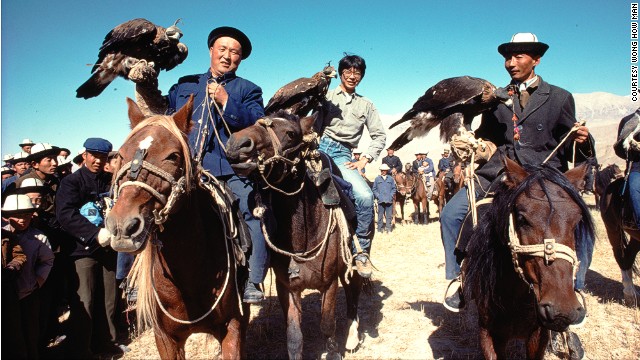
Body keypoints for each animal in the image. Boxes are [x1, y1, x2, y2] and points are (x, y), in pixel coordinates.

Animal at [226, 111, 364, 358]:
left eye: (291, 134)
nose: (236, 144)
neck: (305, 236)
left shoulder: (329, 282)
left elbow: (327, 323)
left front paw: (333, 351)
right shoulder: (287, 287)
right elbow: (293, 335)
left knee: (353, 291)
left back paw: (351, 337)